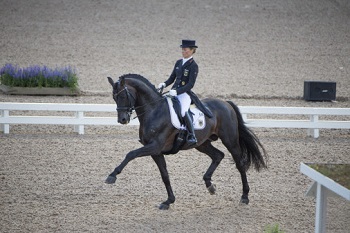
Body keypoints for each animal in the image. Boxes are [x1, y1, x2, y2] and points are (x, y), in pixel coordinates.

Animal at [105, 73, 266, 210]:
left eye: (123, 95)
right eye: (114, 97)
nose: (122, 120)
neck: (154, 111)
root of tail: (225, 103)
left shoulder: (154, 146)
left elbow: (131, 154)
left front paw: (112, 176)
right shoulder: (156, 151)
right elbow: (165, 175)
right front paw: (169, 201)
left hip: (230, 141)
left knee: (240, 164)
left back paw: (244, 196)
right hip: (202, 143)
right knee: (218, 155)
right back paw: (210, 185)